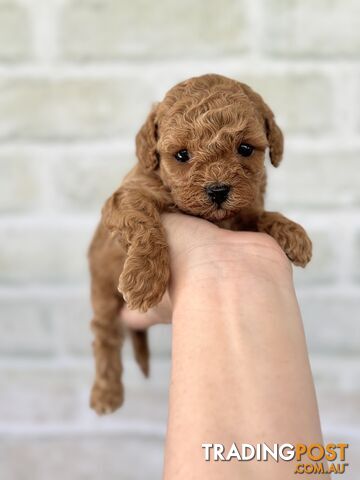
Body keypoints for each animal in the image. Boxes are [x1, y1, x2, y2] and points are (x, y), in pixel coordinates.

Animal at [88, 73, 312, 414]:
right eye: (182, 155)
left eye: (245, 148)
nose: (218, 190)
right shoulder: (127, 195)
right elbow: (143, 222)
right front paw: (143, 279)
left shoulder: (242, 212)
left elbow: (260, 216)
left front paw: (293, 233)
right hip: (101, 292)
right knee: (105, 338)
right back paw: (106, 393)